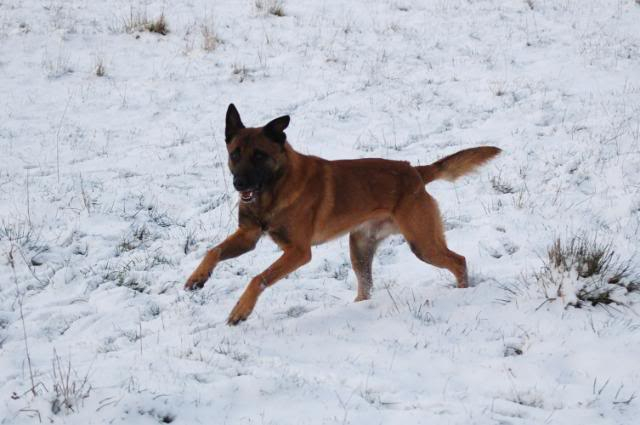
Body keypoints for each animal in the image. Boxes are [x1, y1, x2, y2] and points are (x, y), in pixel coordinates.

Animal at [185, 104, 500, 322]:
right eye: (235, 154)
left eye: (259, 155)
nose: (239, 184)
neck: (274, 188)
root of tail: (414, 171)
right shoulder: (248, 236)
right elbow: (213, 251)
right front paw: (197, 278)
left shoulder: (298, 252)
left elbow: (257, 278)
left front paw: (240, 312)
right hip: (360, 248)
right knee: (366, 286)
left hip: (422, 244)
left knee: (458, 260)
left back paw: (463, 293)